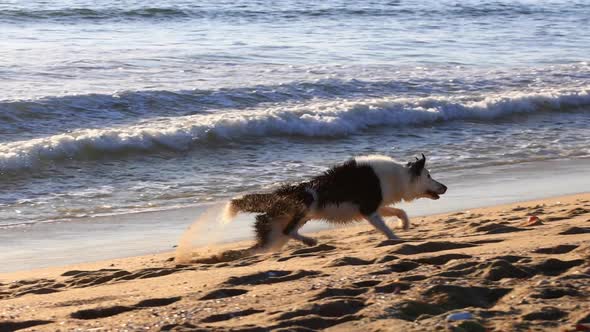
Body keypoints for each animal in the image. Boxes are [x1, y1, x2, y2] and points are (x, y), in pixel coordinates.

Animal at [227, 154, 448, 253]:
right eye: (429, 176)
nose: (445, 187)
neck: (399, 176)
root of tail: (280, 193)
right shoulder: (368, 209)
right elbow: (386, 228)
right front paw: (396, 238)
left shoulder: (373, 207)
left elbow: (399, 211)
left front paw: (404, 224)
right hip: (303, 210)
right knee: (287, 231)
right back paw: (309, 241)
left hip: (297, 218)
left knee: (284, 232)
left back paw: (308, 242)